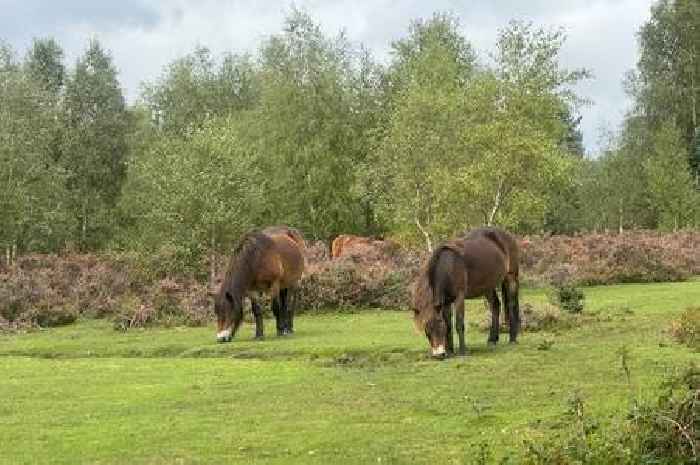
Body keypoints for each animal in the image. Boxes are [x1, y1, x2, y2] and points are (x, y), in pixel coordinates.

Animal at [410, 227, 520, 358]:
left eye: (439, 324)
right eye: (427, 330)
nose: (439, 355)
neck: (448, 266)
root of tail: (507, 235)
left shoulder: (459, 297)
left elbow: (459, 323)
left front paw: (463, 351)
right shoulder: (446, 302)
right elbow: (449, 325)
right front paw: (450, 351)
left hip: (511, 278)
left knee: (511, 305)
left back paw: (512, 339)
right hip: (488, 286)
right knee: (495, 305)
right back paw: (492, 340)